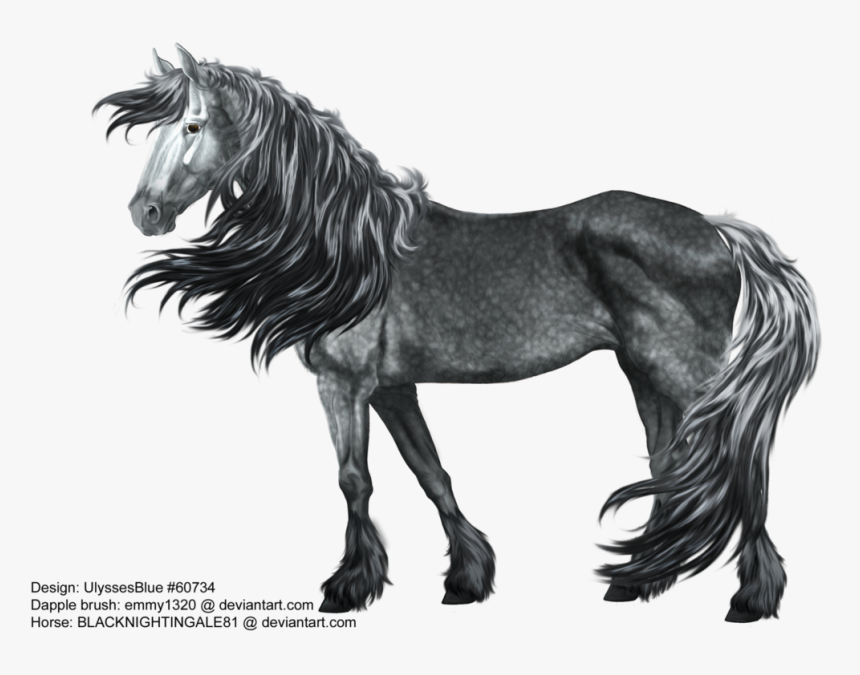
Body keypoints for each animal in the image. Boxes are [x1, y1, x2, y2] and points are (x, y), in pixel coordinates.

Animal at [94, 45, 819, 622]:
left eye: (192, 125)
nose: (144, 211)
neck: (354, 247)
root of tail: (716, 230)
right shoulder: (393, 390)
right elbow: (431, 473)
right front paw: (467, 577)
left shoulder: (343, 385)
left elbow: (354, 479)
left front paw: (347, 587)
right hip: (644, 373)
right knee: (671, 464)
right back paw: (638, 580)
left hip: (685, 373)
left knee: (737, 464)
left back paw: (750, 598)